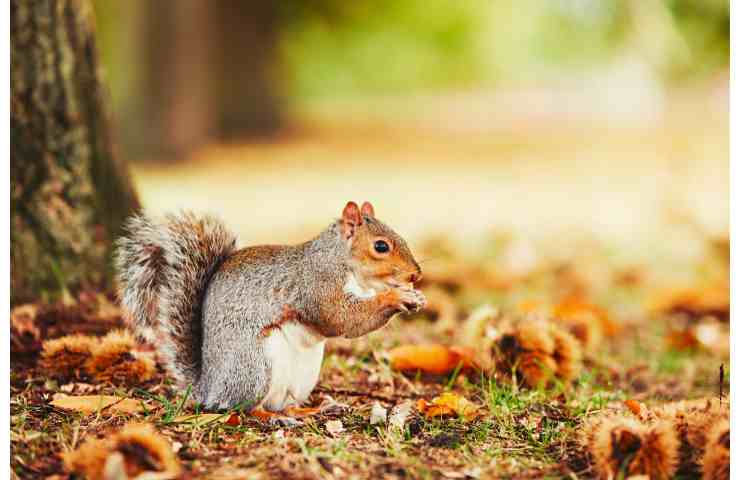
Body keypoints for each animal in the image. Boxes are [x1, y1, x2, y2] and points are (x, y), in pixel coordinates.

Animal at [116, 202, 428, 412]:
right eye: (381, 247)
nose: (416, 275)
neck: (339, 259)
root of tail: (208, 387)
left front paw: (413, 296)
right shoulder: (318, 284)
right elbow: (342, 319)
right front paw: (395, 297)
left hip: (302, 376)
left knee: (284, 402)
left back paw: (311, 409)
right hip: (255, 366)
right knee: (245, 408)